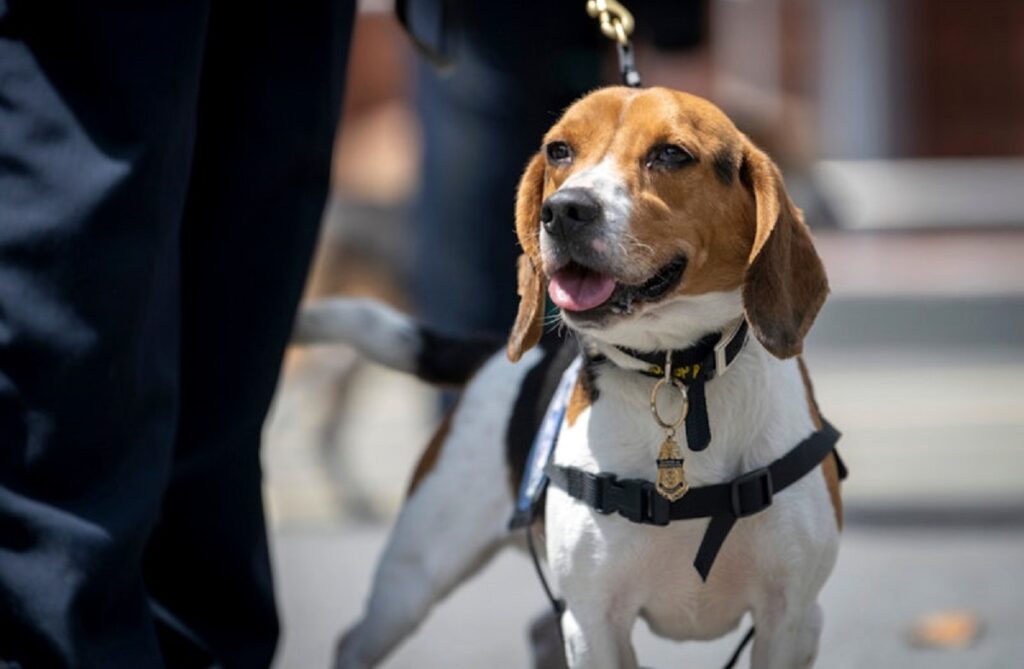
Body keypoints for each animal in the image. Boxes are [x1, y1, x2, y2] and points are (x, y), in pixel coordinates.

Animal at [305, 87, 847, 667]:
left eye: (672, 154)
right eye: (559, 150)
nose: (564, 211)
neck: (678, 372)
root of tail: (494, 355)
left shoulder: (791, 619)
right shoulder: (595, 623)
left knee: (540, 631)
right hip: (413, 578)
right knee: (357, 638)